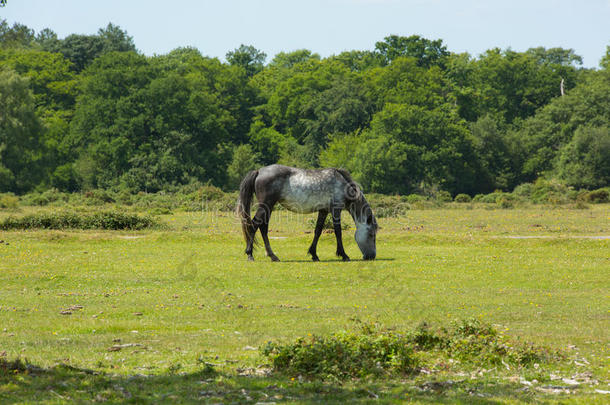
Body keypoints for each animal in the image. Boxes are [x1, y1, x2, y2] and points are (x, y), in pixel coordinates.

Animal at [234, 163, 372, 260]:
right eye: (371, 234)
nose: (371, 256)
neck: (341, 183)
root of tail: (259, 171)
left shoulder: (323, 211)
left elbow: (318, 231)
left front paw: (314, 254)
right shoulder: (336, 209)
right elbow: (338, 231)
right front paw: (343, 255)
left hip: (268, 207)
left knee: (263, 227)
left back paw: (272, 255)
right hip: (265, 205)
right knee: (254, 225)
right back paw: (250, 254)